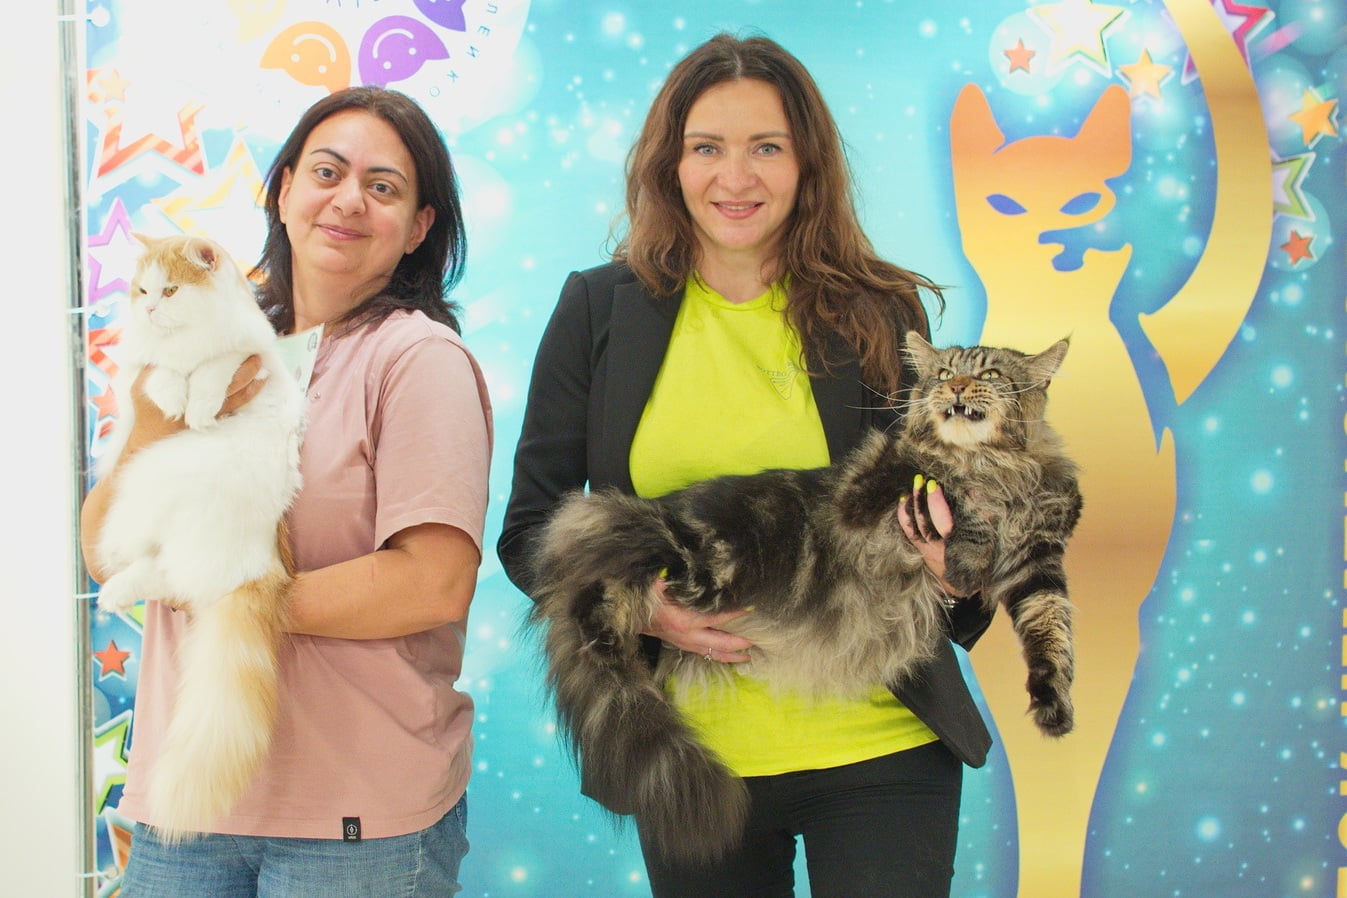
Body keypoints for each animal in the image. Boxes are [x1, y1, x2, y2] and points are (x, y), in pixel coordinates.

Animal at [94, 233, 305, 841]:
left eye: (169, 290)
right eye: (142, 291)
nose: (149, 309)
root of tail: (263, 565)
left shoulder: (254, 359)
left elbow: (218, 365)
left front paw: (202, 405)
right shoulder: (134, 376)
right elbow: (156, 373)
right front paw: (172, 398)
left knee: (166, 571)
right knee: (153, 568)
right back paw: (111, 591)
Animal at [528, 331, 1081, 863]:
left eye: (989, 374)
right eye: (945, 374)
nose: (958, 388)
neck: (996, 464)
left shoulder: (1039, 568)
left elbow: (1053, 635)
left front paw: (1054, 707)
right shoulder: (880, 491)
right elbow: (947, 491)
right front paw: (968, 551)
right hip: (686, 562)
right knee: (603, 589)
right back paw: (602, 630)